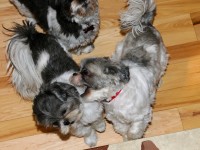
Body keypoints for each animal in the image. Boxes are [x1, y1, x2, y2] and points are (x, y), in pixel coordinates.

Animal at [80, 0, 168, 141]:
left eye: (86, 72)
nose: (75, 74)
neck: (117, 95)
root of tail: (145, 24)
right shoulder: (115, 118)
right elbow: (121, 128)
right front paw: (126, 138)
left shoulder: (141, 116)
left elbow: (134, 130)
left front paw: (133, 137)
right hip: (118, 50)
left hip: (163, 59)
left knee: (160, 71)